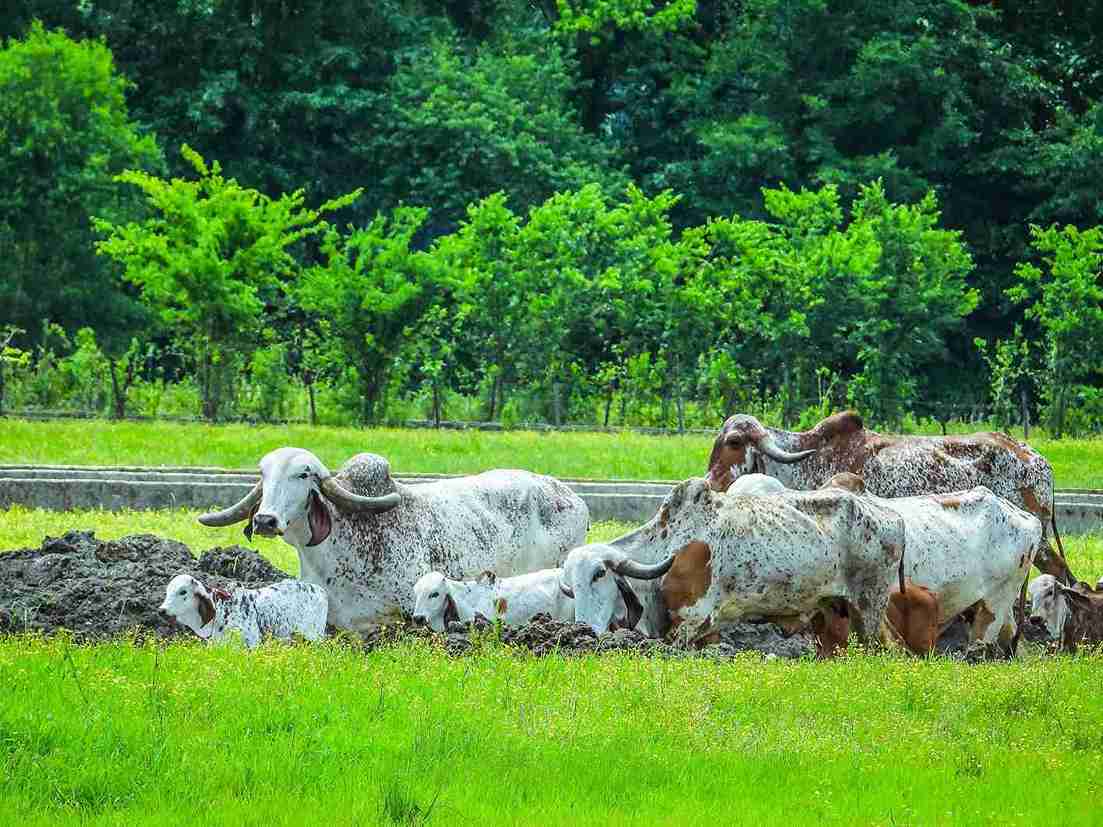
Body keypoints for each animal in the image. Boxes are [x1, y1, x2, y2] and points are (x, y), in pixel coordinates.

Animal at [158, 573, 327, 647]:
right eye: (167, 591)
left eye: (183, 591)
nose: (162, 610)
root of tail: (320, 590)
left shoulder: (252, 643)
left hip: (314, 636)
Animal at [560, 478, 906, 646]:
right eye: (571, 588)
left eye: (599, 574)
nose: (583, 628)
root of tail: (893, 516)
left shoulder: (692, 622)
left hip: (869, 608)